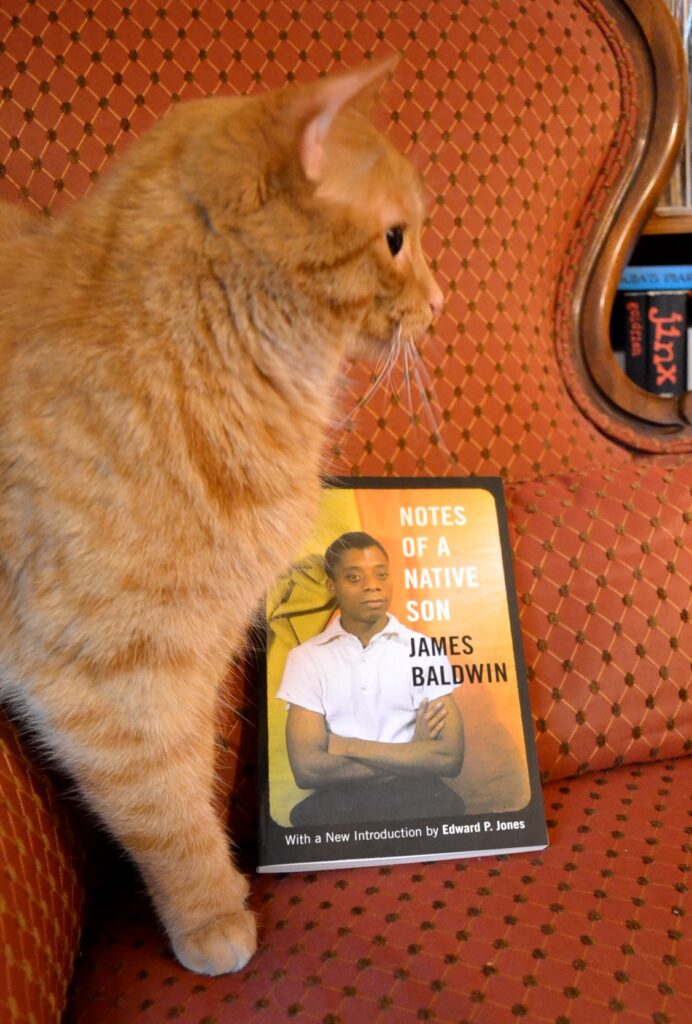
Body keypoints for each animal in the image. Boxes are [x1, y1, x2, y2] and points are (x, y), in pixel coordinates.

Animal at [0, 61, 444, 974]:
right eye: (396, 239)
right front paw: (212, 915)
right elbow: (165, 809)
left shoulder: (194, 653)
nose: (443, 299)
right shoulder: (101, 674)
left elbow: (192, 774)